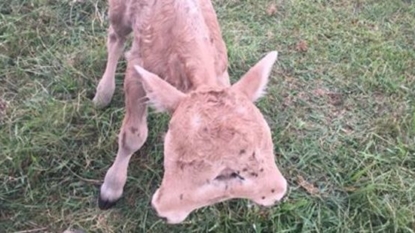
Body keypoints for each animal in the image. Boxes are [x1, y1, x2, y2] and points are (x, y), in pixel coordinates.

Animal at [93, 0, 290, 224]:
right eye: (226, 174)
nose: (275, 192)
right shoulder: (137, 64)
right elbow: (133, 137)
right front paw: (110, 190)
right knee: (115, 36)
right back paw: (103, 94)